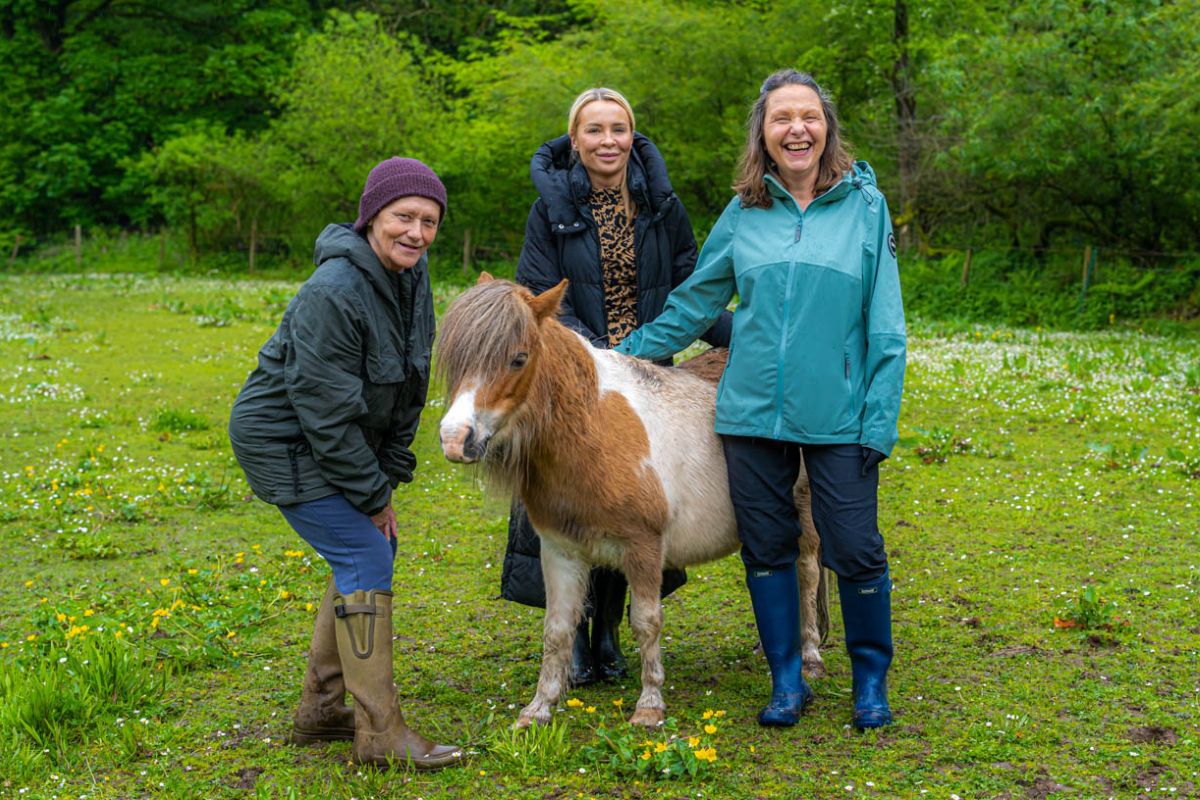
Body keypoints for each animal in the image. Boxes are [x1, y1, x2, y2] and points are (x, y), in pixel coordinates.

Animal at [439, 277, 825, 734]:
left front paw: (650, 704)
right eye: (456, 359)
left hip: (804, 518)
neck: (595, 428)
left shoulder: (644, 548)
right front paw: (538, 708)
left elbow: (646, 622)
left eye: (518, 358)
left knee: (807, 575)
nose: (454, 438)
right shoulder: (560, 551)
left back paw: (811, 657)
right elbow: (557, 629)